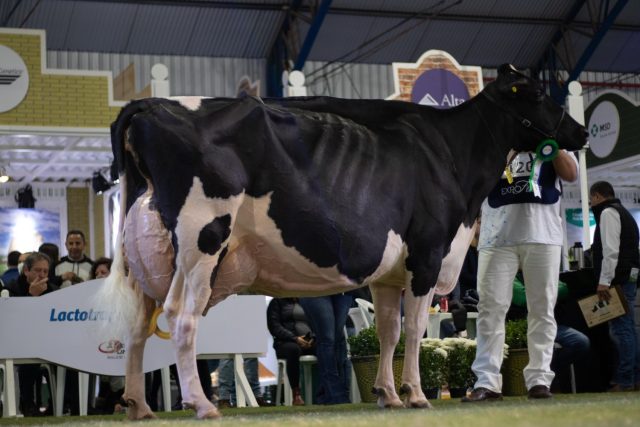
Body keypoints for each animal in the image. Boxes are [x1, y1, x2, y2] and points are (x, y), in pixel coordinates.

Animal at [101, 65, 584, 420]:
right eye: (536, 94)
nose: (579, 133)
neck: (450, 153)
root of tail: (150, 106)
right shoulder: (427, 253)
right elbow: (414, 330)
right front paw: (416, 394)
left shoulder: (389, 272)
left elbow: (388, 331)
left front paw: (388, 394)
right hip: (201, 240)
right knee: (181, 317)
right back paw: (201, 405)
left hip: (148, 259)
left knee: (138, 327)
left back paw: (139, 406)